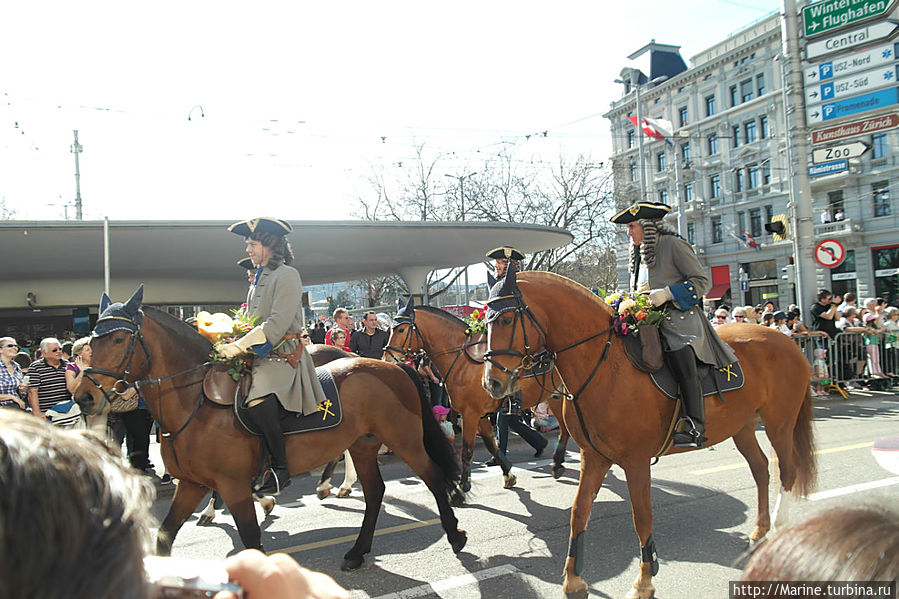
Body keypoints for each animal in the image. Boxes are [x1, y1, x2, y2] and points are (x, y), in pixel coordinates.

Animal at [76, 292, 468, 568]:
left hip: (406, 440)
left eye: (117, 340)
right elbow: (163, 538)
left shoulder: (232, 486)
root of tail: (393, 367)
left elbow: (251, 541)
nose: (84, 396)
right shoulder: (190, 484)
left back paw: (455, 534)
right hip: (363, 443)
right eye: (90, 341)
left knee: (433, 476)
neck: (195, 402)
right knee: (374, 492)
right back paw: (356, 548)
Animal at [384, 302, 568, 490]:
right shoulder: (481, 416)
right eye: (390, 329)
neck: (463, 363)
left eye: (401, 329)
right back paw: (556, 462)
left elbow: (467, 450)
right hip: (555, 396)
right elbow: (492, 445)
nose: (387, 358)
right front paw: (508, 475)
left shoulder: (470, 414)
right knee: (565, 428)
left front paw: (465, 483)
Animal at [486, 272, 816, 599]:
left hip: (779, 423)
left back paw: (778, 529)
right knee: (761, 469)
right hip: (744, 427)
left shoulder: (636, 461)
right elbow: (579, 512)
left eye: (506, 320)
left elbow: (642, 518)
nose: (492, 384)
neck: (605, 366)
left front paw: (644, 581)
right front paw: (574, 580)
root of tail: (788, 341)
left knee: (787, 471)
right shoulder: (594, 457)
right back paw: (759, 532)